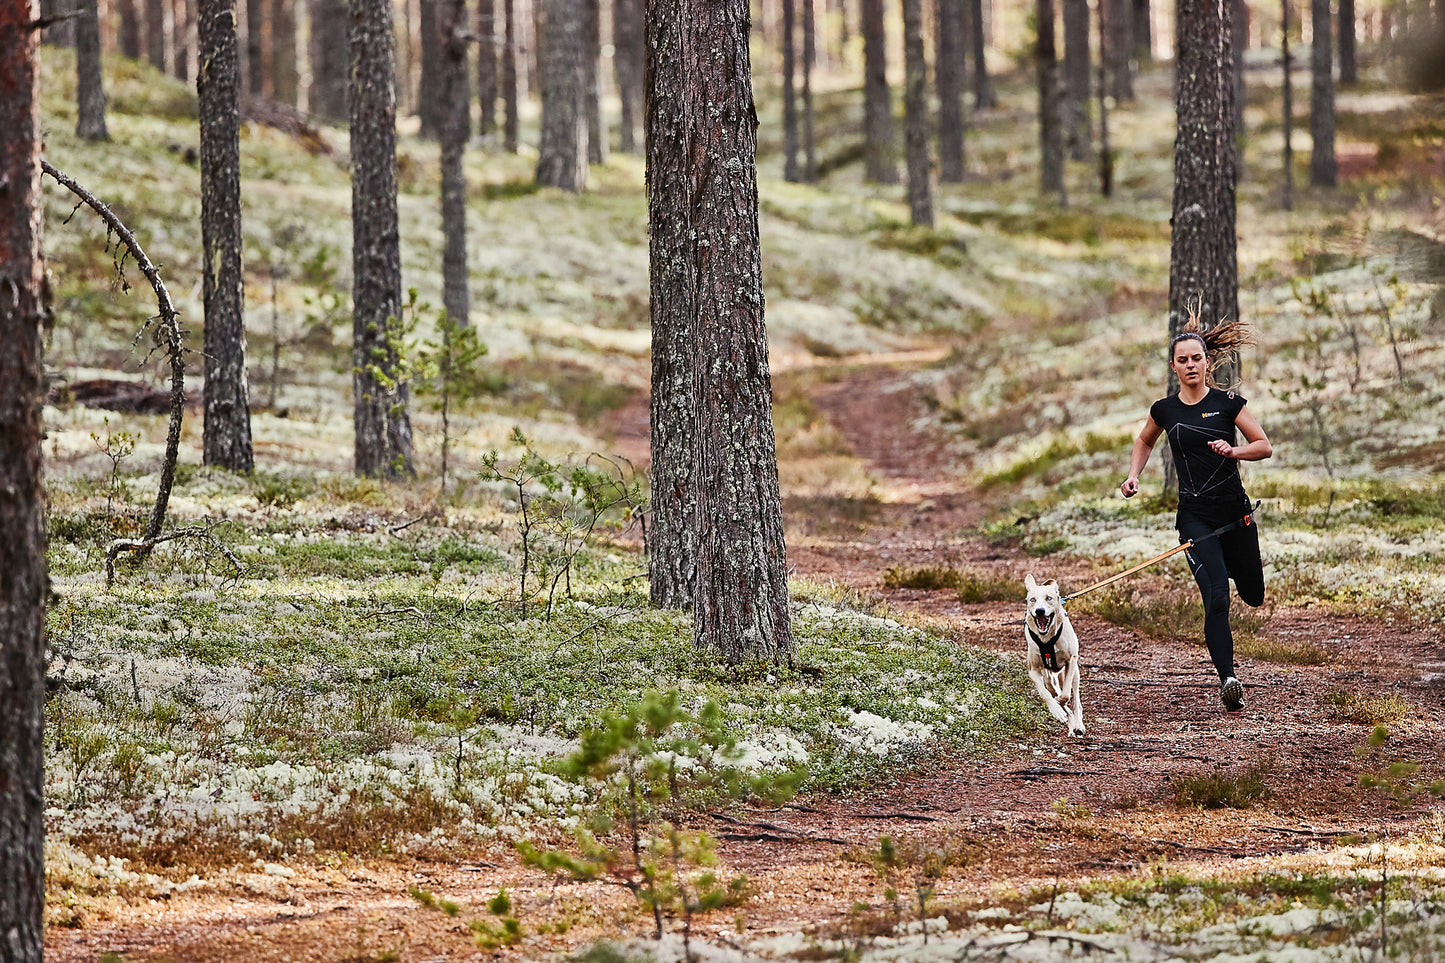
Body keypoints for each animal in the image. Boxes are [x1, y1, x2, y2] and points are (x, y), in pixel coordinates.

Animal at [1017, 569, 1086, 734]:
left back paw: (1078, 724)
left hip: (1075, 674)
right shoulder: (1033, 670)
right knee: (1052, 690)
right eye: (1032, 599)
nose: (1040, 611)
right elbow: (1044, 694)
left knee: (1075, 699)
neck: (1046, 639)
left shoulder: (1071, 661)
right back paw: (1068, 719)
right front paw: (1056, 710)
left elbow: (1066, 694)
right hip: (1049, 677)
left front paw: (1061, 703)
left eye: (1049, 598)